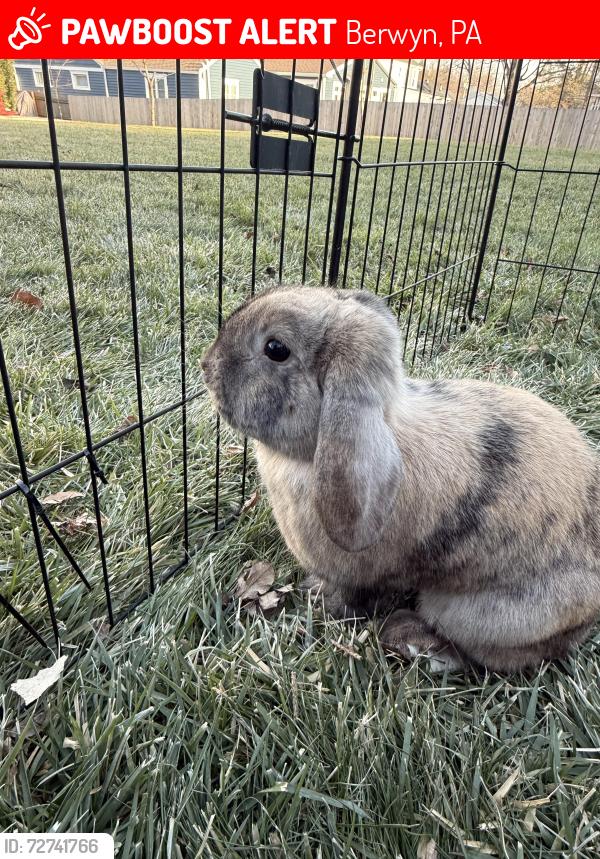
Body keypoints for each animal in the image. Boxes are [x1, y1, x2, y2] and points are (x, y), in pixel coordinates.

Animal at [201, 285, 600, 672]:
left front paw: (321, 600)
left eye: (276, 349)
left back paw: (409, 637)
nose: (207, 365)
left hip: (481, 615)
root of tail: (586, 618)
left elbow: (351, 595)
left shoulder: (356, 576)